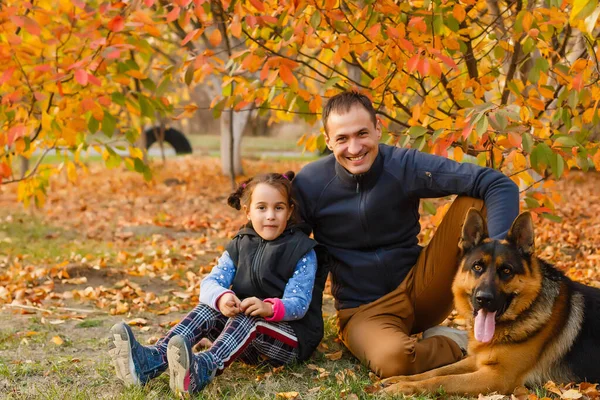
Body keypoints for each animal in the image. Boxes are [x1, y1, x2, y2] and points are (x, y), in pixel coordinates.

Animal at [382, 209, 600, 396]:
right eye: (477, 267)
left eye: (506, 270)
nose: (483, 299)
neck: (524, 311)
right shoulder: (478, 360)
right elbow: (438, 371)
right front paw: (400, 379)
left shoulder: (496, 377)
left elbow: (442, 380)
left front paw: (403, 388)